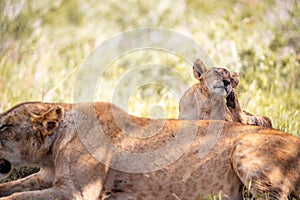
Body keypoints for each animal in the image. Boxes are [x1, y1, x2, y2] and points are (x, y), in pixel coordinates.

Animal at [0, 102, 298, 199]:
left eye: (3, 126)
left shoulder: (78, 192)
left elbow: (18, 197)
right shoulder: (44, 178)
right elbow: (13, 187)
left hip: (243, 147)